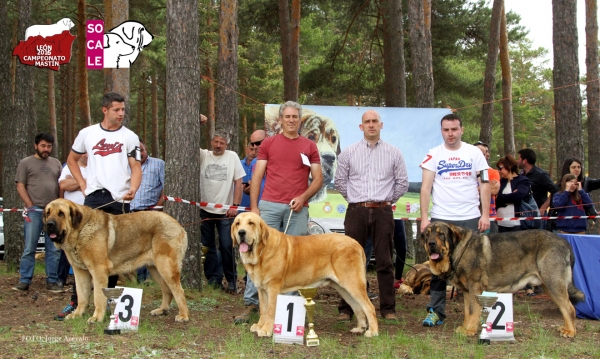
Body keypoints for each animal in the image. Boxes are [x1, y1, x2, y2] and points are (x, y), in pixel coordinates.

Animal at [43, 198, 189, 324]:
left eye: (61, 214)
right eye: (48, 213)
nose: (49, 224)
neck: (80, 231)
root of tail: (178, 224)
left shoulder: (98, 270)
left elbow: (98, 296)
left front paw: (97, 317)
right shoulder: (80, 272)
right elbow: (81, 295)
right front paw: (77, 314)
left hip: (166, 266)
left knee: (178, 290)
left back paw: (183, 315)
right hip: (155, 269)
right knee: (167, 290)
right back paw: (161, 310)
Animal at [232, 212, 378, 338]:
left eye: (251, 223)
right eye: (238, 223)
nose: (241, 232)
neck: (260, 252)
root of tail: (356, 243)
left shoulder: (273, 288)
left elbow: (270, 310)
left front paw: (267, 330)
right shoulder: (262, 290)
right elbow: (263, 309)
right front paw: (259, 326)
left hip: (352, 282)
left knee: (369, 307)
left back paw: (373, 331)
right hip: (343, 287)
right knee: (357, 306)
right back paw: (360, 328)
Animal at [420, 224, 584, 338]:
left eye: (441, 234)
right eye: (427, 235)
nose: (431, 243)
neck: (458, 249)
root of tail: (564, 241)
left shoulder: (474, 288)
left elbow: (473, 311)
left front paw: (470, 330)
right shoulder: (467, 291)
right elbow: (467, 311)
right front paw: (466, 327)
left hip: (553, 282)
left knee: (569, 308)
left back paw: (570, 331)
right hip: (549, 286)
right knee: (564, 307)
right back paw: (566, 328)